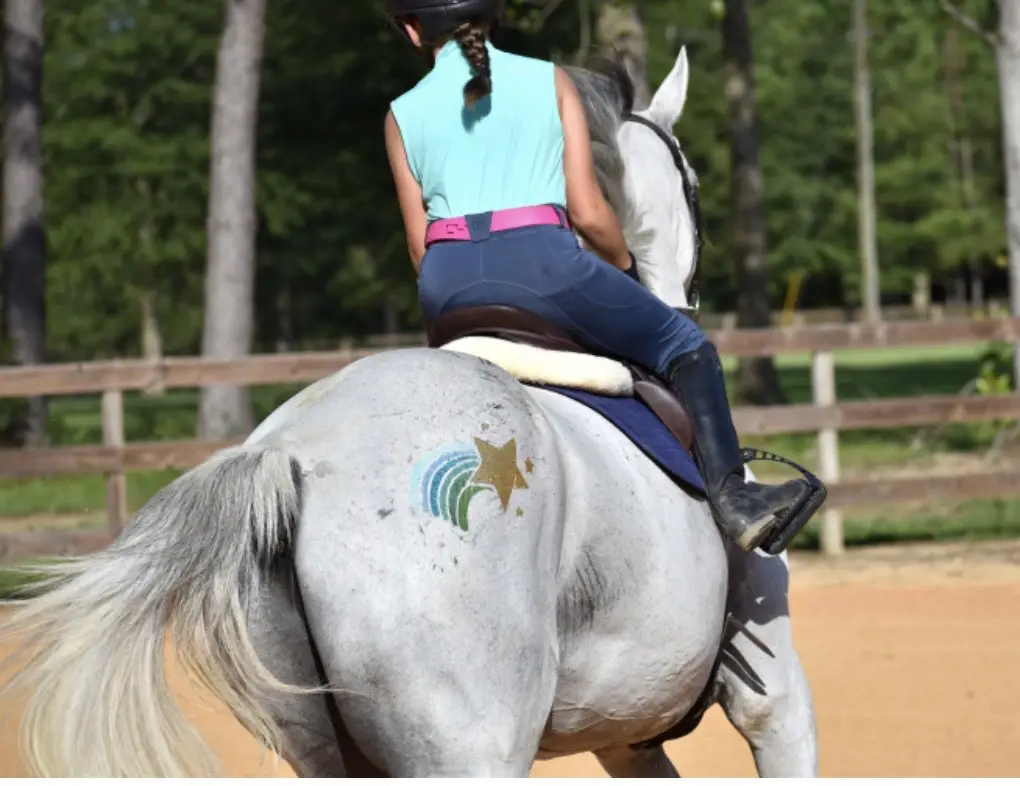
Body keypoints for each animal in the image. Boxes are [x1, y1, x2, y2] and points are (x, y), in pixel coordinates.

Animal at [0, 50, 816, 778]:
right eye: (693, 183)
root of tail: (291, 455)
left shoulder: (627, 736)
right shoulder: (775, 702)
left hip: (338, 751)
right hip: (470, 743)